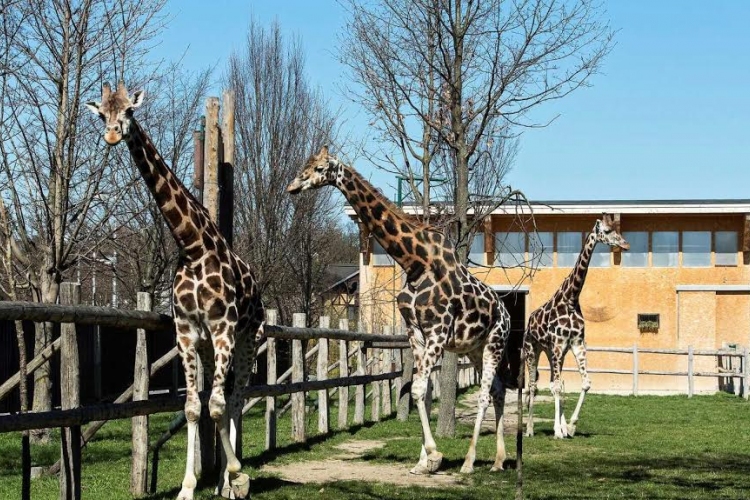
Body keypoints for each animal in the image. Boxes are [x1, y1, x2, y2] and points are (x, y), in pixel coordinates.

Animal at [86, 83, 264, 500]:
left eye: (129, 112)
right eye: (102, 114)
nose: (113, 135)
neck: (194, 247)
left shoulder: (224, 329)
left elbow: (217, 405)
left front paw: (238, 472)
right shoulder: (187, 333)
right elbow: (194, 408)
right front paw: (188, 487)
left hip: (247, 339)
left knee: (235, 399)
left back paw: (233, 479)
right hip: (211, 347)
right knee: (221, 399)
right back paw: (221, 482)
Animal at [288, 146, 524, 474]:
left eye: (320, 168)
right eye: (306, 165)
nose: (292, 186)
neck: (414, 262)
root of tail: (505, 311)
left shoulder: (438, 331)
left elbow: (420, 389)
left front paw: (434, 456)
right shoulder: (416, 331)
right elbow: (418, 392)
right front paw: (423, 461)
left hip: (494, 343)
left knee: (485, 396)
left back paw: (469, 461)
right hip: (474, 348)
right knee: (499, 390)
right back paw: (499, 461)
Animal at [524, 213, 632, 440]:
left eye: (617, 229)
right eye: (607, 231)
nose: (625, 244)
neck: (571, 298)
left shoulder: (576, 343)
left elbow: (583, 383)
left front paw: (570, 426)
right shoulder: (558, 344)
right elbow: (556, 388)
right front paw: (558, 430)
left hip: (553, 352)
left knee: (555, 383)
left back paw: (561, 426)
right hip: (532, 349)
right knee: (533, 386)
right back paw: (529, 429)